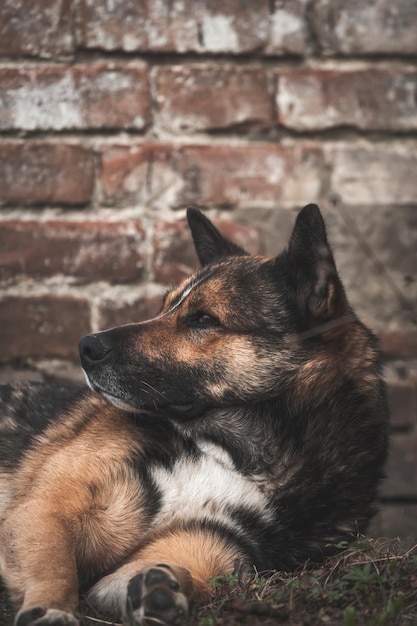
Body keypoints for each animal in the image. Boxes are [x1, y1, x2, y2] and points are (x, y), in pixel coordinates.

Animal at [1, 206, 388, 624]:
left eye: (203, 319)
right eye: (163, 307)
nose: (85, 347)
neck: (235, 451)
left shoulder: (209, 544)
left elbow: (165, 570)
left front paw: (156, 588)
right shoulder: (44, 510)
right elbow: (56, 567)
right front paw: (50, 608)